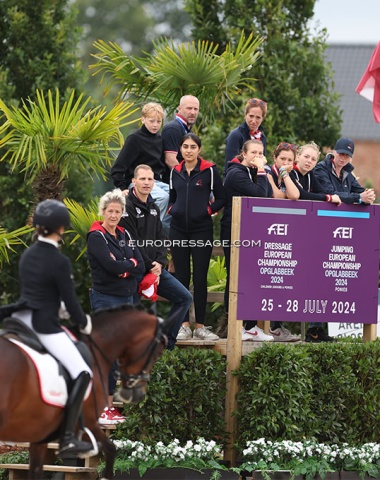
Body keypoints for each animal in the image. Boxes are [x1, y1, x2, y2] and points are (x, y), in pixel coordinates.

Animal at [0, 304, 174, 480]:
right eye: (158, 352)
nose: (138, 394)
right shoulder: (88, 422)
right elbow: (111, 449)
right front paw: (105, 476)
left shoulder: (40, 434)